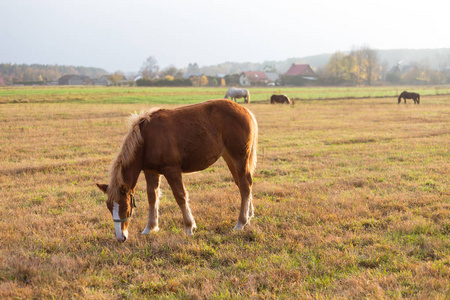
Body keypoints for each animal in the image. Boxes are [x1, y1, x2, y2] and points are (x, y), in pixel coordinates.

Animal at [96, 99, 258, 243]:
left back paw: (240, 223)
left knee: (245, 186)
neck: (147, 139)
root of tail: (246, 111)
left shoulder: (172, 169)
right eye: (109, 207)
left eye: (125, 206)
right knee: (243, 184)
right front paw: (150, 228)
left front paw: (189, 227)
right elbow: (152, 197)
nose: (120, 238)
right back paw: (249, 216)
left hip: (239, 157)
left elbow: (180, 196)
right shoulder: (150, 171)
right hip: (229, 157)